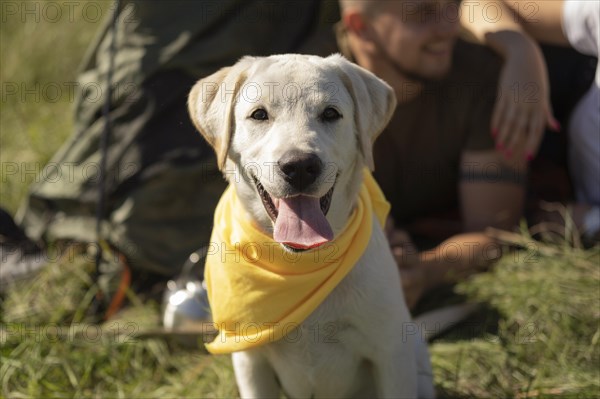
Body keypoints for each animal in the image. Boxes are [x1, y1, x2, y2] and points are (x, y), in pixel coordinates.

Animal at [189, 54, 436, 399]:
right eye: (259, 114)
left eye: (330, 113)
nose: (300, 166)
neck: (301, 260)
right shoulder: (250, 361)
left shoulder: (391, 354)